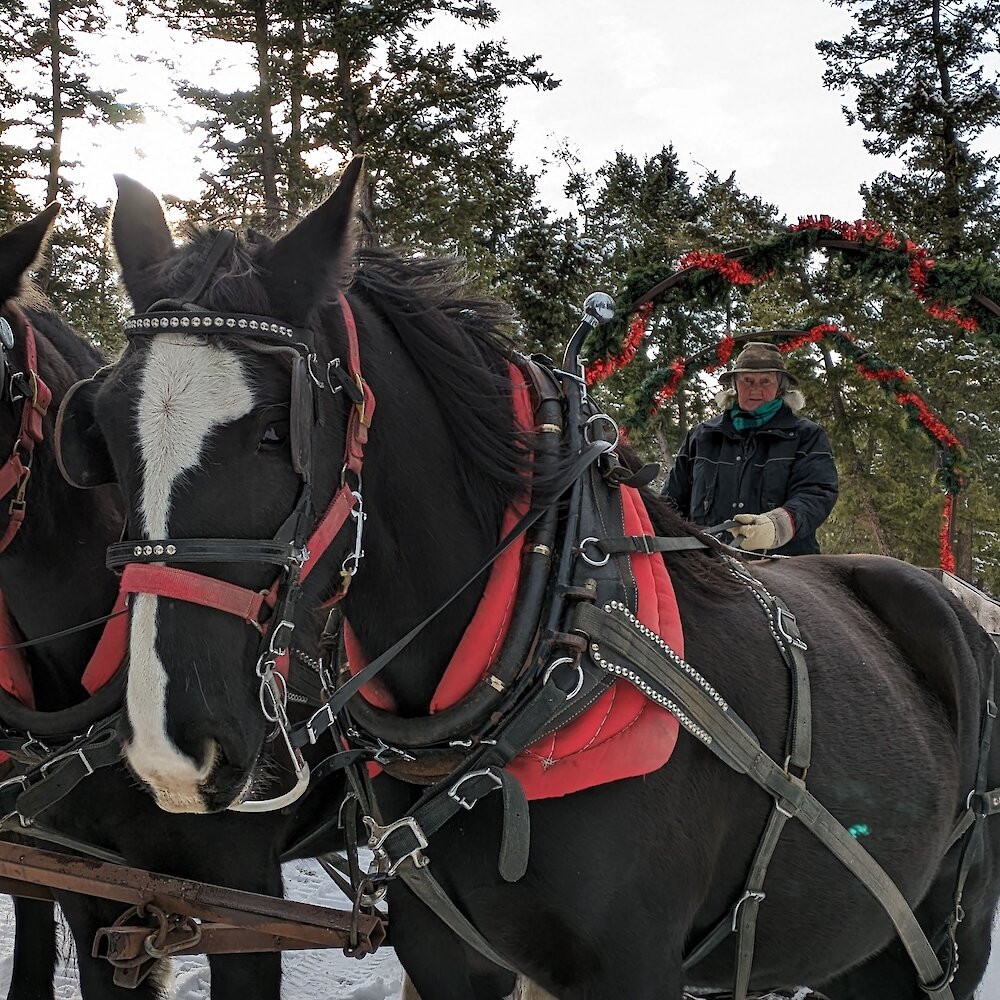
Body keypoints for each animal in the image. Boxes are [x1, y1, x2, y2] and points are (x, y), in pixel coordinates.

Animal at [60, 164, 1000, 1000]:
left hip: (941, 938)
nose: (170, 748)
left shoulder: (633, 970)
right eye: (101, 430)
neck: (545, 643)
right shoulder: (445, 958)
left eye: (271, 432)